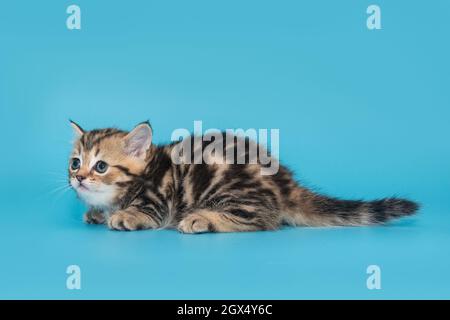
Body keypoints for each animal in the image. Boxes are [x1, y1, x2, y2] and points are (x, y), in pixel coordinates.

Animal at [68, 121, 420, 234]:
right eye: (75, 163)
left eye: (101, 166)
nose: (79, 178)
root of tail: (285, 184)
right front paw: (96, 213)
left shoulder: (158, 200)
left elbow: (144, 212)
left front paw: (124, 216)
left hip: (229, 186)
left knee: (262, 219)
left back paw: (201, 219)